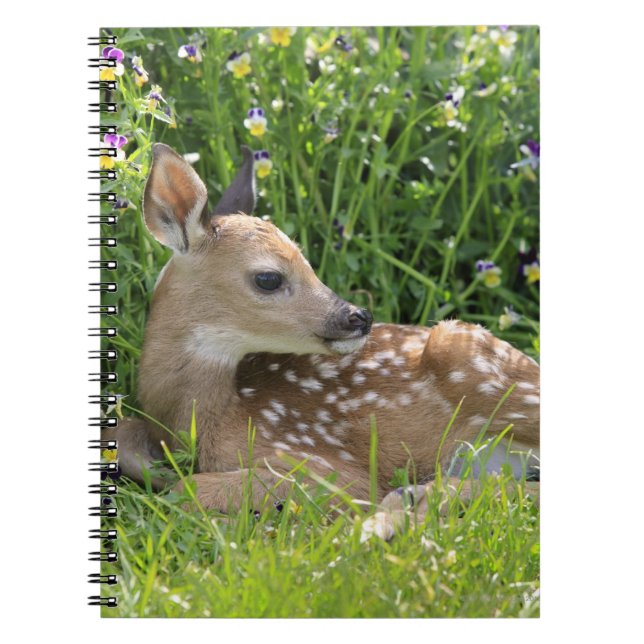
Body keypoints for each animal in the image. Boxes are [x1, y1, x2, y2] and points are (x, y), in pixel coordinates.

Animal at [103, 143, 540, 532]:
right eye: (268, 278)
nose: (359, 316)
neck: (202, 420)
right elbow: (126, 439)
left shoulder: (325, 465)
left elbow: (186, 488)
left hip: (475, 361)